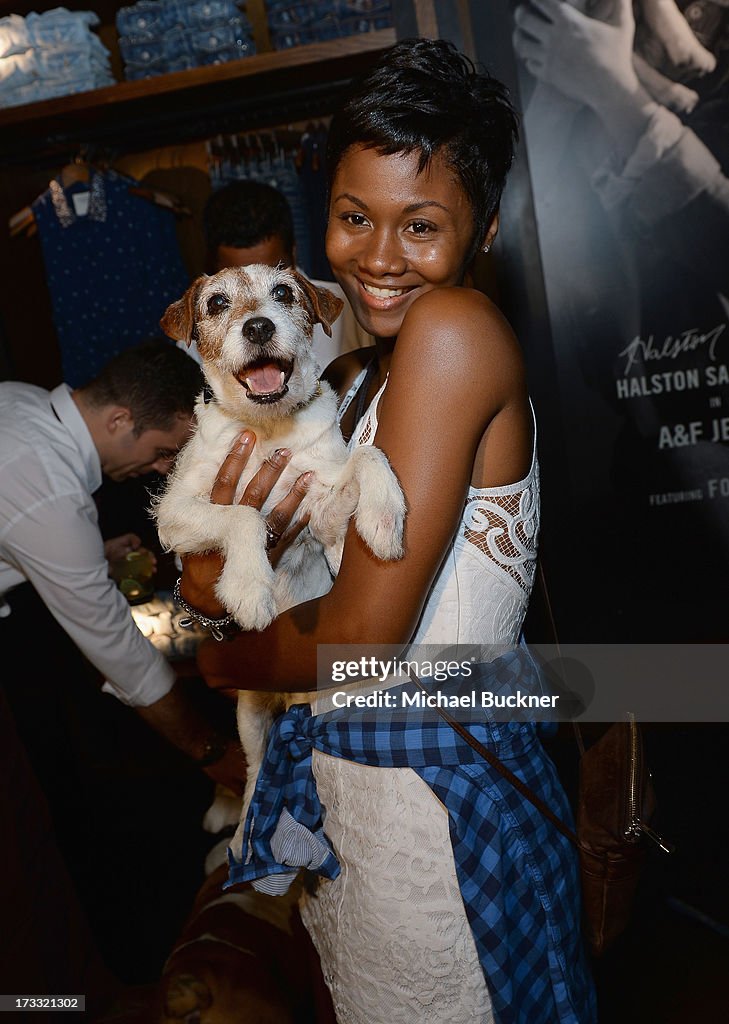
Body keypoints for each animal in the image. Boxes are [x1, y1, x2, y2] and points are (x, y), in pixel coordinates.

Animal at [152, 264, 403, 856]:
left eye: (284, 293)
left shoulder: (322, 509)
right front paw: (249, 588)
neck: (267, 432)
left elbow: (366, 455)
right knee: (252, 774)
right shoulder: (175, 514)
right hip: (248, 715)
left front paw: (383, 518)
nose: (259, 326)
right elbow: (243, 514)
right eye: (217, 303)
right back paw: (242, 830)